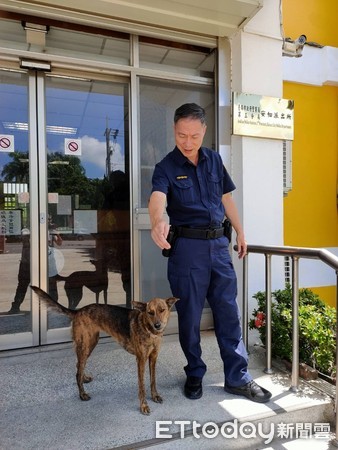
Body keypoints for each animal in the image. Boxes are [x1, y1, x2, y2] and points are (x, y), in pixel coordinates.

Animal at [30, 286, 178, 414]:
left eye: (162, 310)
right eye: (150, 312)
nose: (158, 325)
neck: (149, 330)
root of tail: (78, 311)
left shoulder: (153, 357)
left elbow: (153, 380)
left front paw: (155, 396)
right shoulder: (141, 360)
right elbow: (141, 386)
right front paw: (144, 406)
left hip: (90, 343)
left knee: (79, 365)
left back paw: (84, 378)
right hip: (86, 344)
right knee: (78, 369)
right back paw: (82, 394)